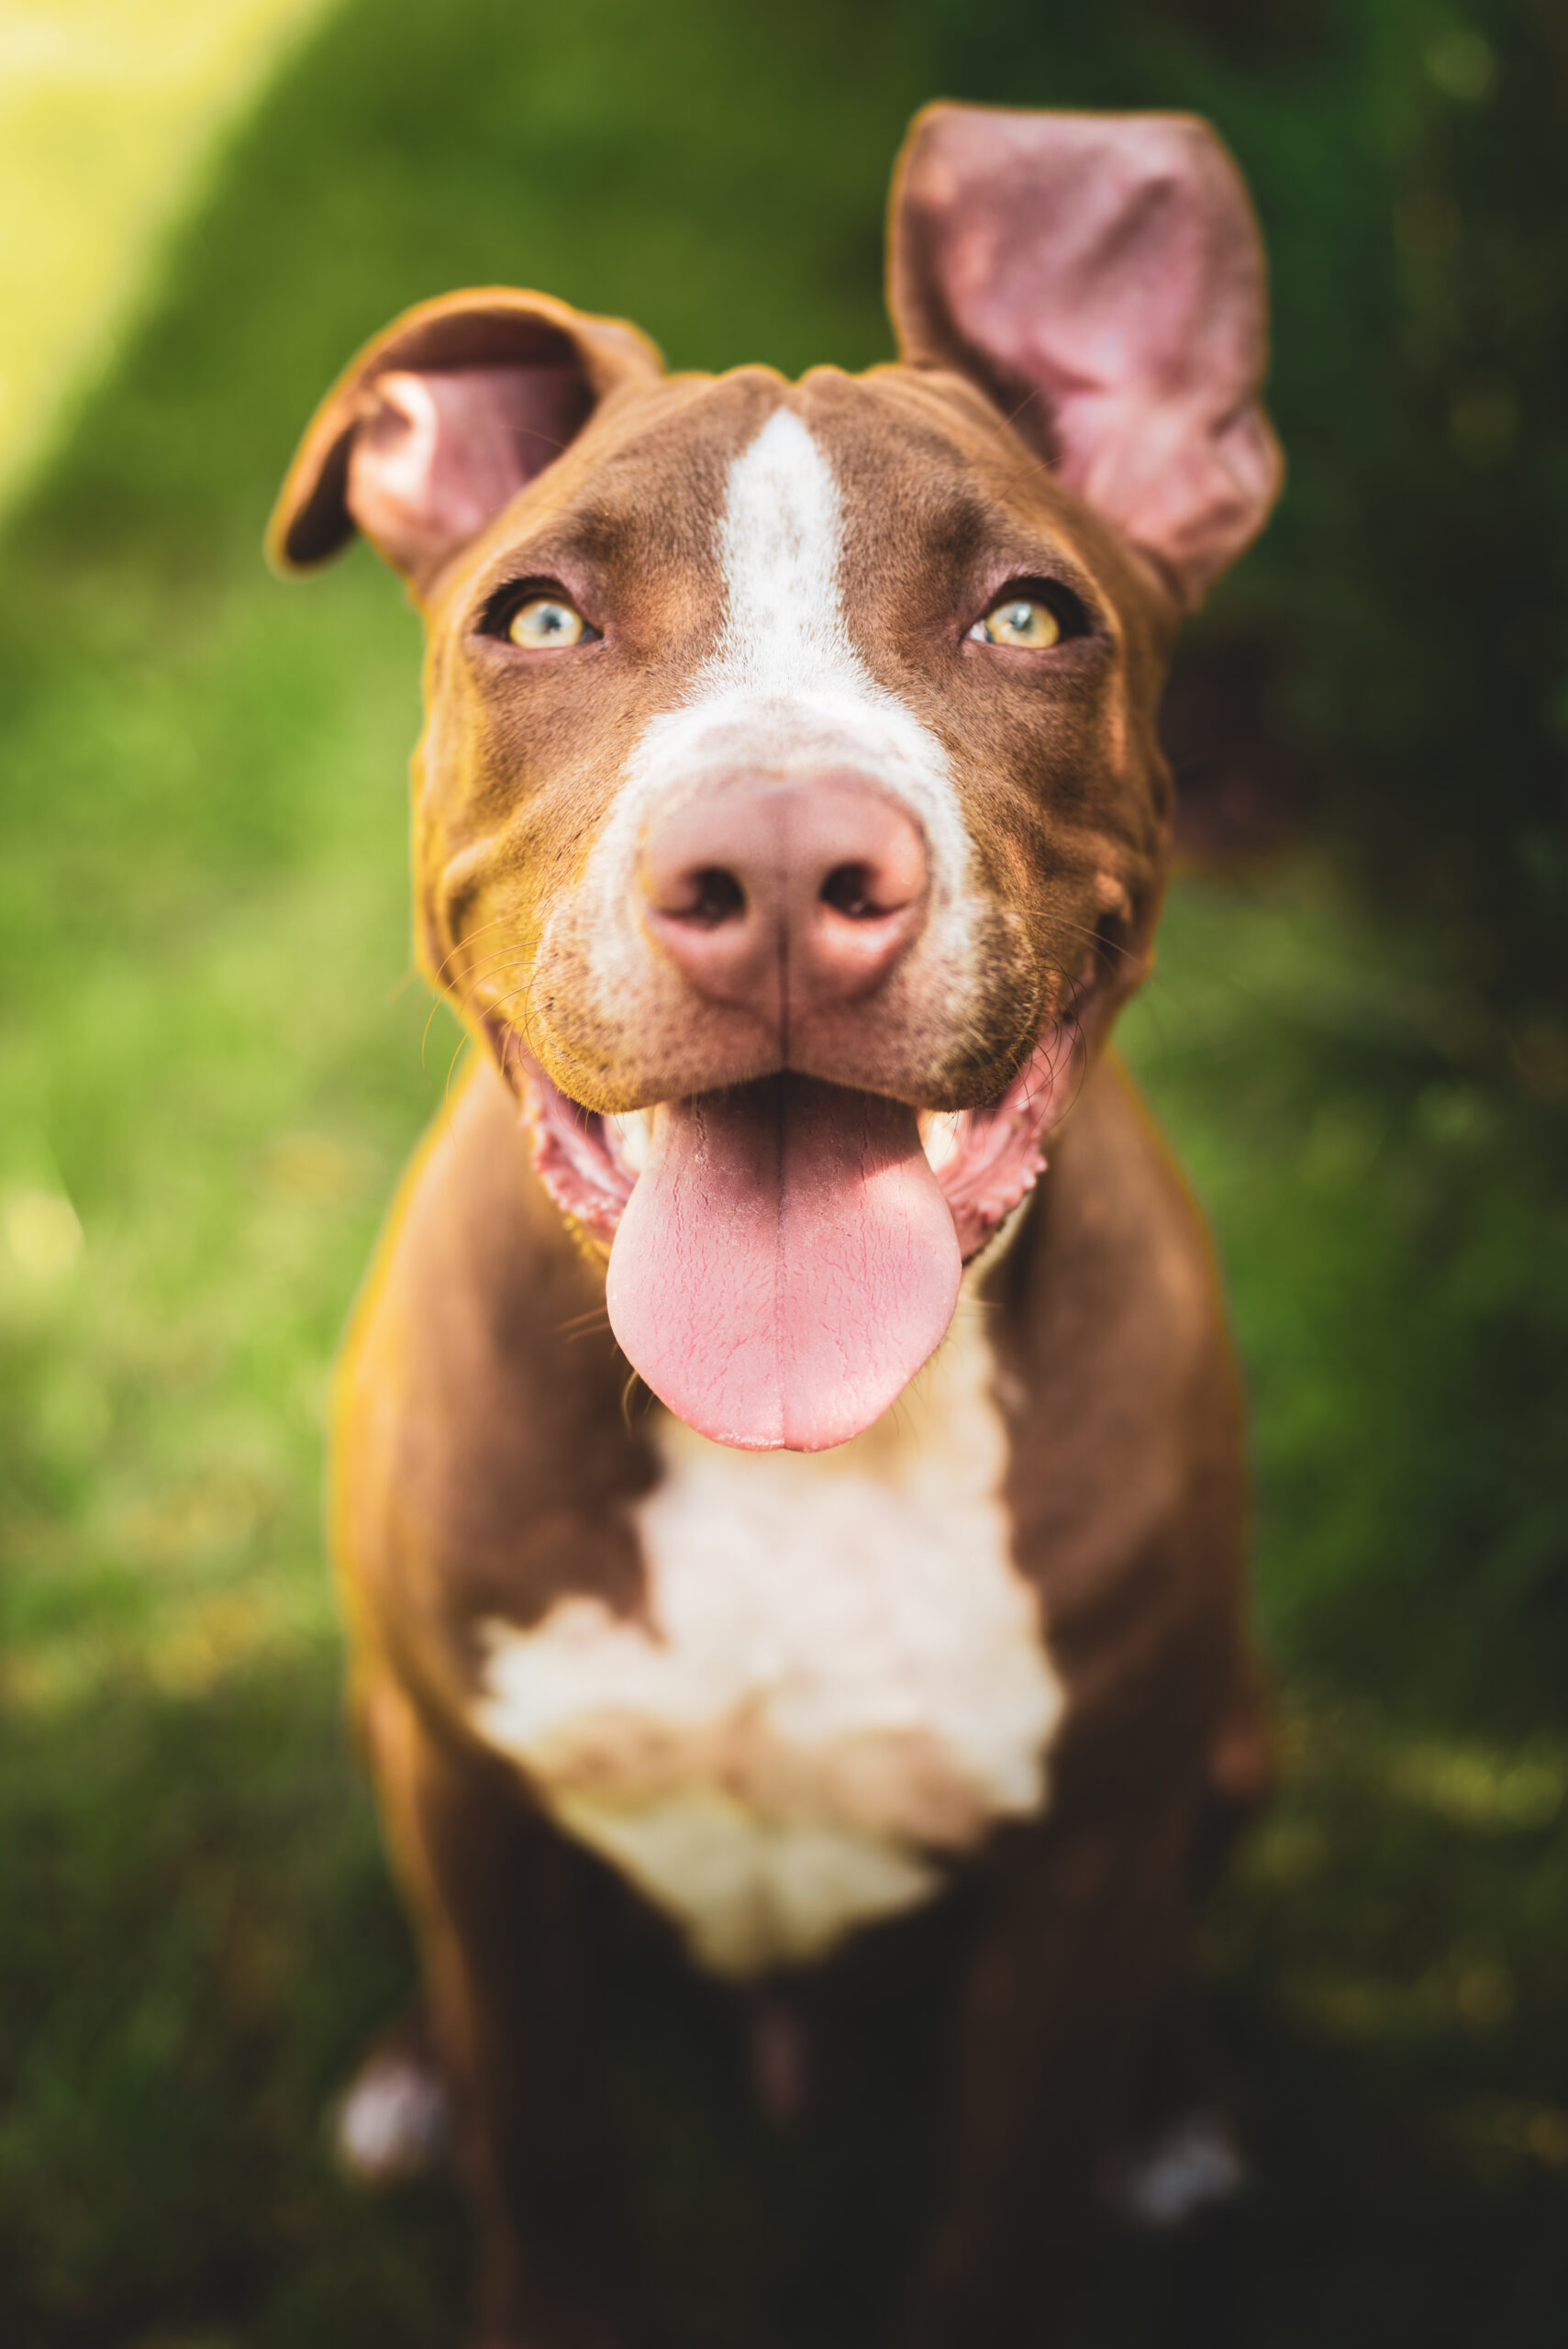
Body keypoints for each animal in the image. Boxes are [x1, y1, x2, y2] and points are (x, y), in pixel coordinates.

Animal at [266, 106, 1276, 2349]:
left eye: (1027, 618)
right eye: (540, 620)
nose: (787, 860)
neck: (795, 1452)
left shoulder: (1084, 1867)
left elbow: (1002, 2206)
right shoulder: (468, 1800)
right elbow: (547, 2141)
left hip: (1226, 1742)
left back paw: (1181, 2116)